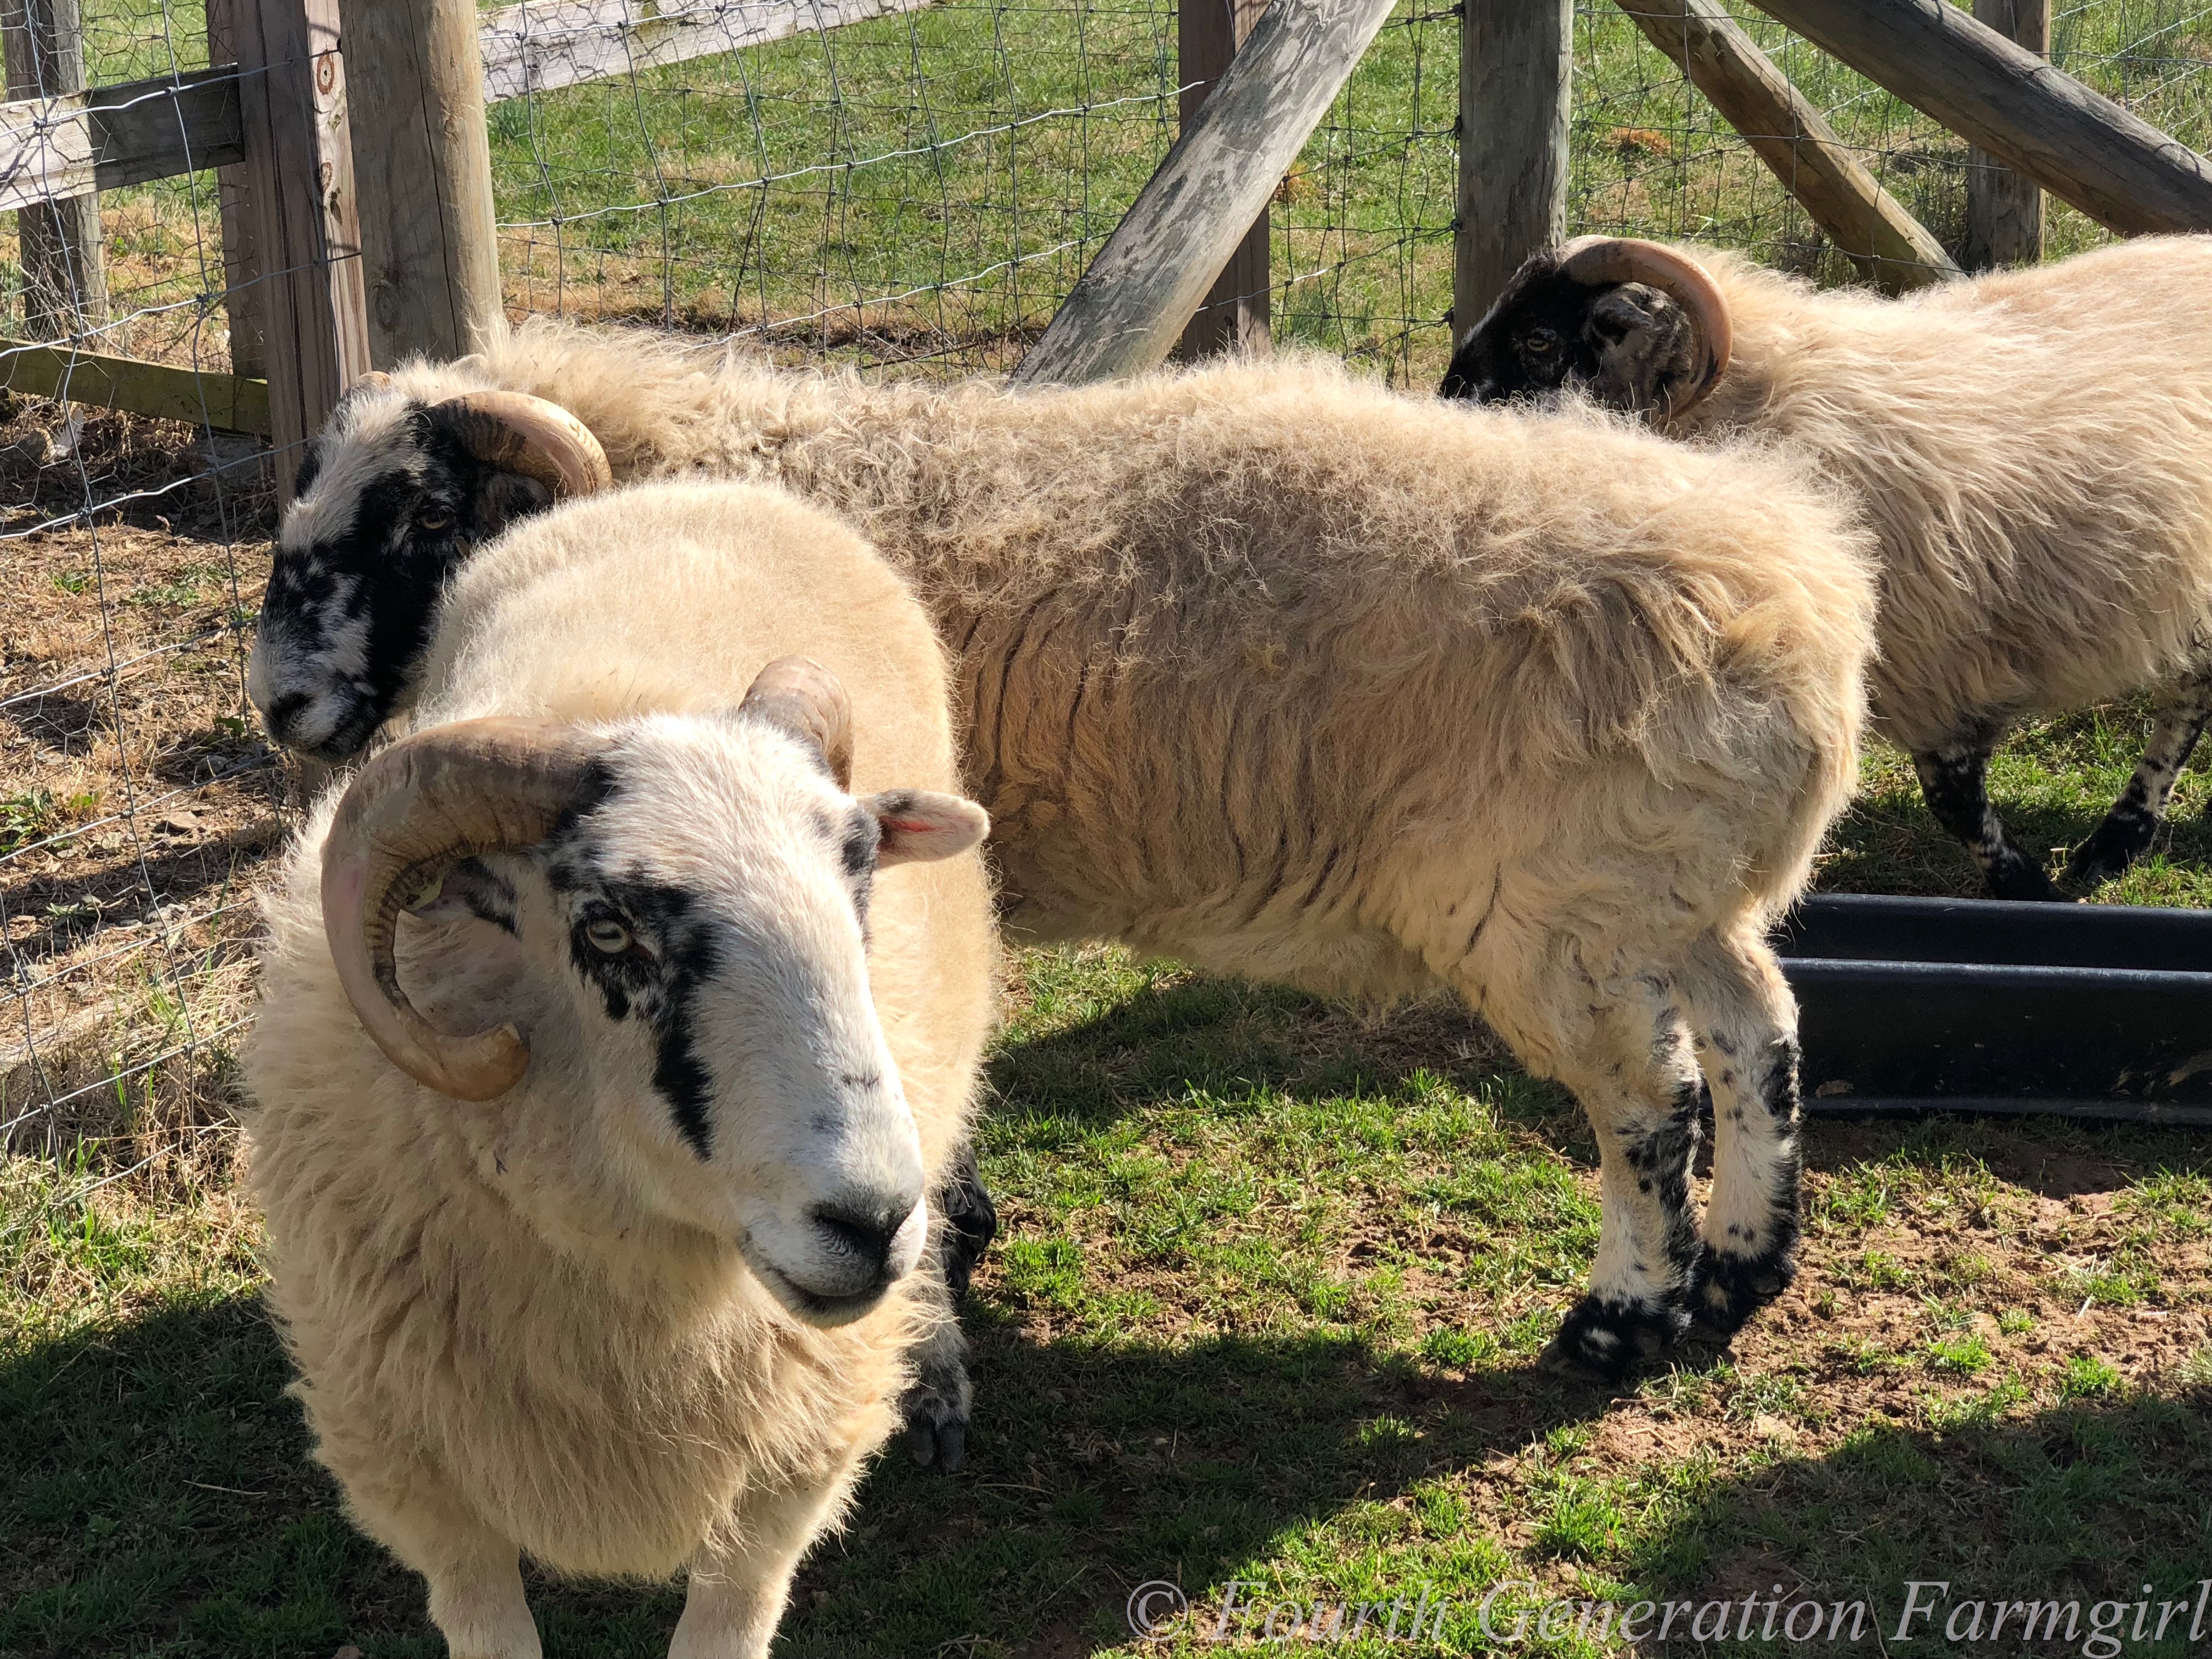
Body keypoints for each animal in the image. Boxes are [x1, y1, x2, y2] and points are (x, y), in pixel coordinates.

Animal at [243, 478, 996, 1658]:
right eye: (606, 930)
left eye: (862, 875)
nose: (873, 1219)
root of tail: (688, 483)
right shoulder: (430, 1499)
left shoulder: (776, 1497)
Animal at [246, 333, 1880, 1379]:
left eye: (427, 511)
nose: (282, 706)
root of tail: (1803, 596)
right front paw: (957, 1222)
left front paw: (947, 1241)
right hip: (1675, 883)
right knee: (1762, 1032)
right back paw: (1749, 1268)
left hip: (1556, 910)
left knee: (1650, 1104)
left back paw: (1621, 1324)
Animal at [1440, 234, 2212, 902]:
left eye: (1538, 339)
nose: (1443, 409)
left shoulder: (1935, 662)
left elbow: (1955, 802)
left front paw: (2028, 890)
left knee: (2190, 696)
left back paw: (2118, 839)